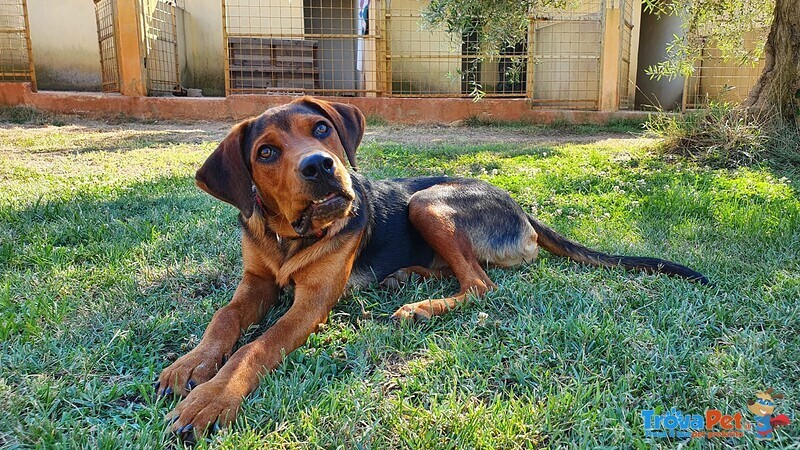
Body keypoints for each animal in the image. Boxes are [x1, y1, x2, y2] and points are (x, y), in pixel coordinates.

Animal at [155, 96, 708, 438]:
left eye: (322, 130)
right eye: (266, 152)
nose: (320, 166)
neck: (290, 238)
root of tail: (520, 207)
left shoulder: (311, 302)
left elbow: (257, 346)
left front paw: (210, 400)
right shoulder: (255, 283)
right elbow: (225, 319)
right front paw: (190, 365)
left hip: (430, 202)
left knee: (482, 284)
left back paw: (420, 307)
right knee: (464, 272)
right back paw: (407, 279)